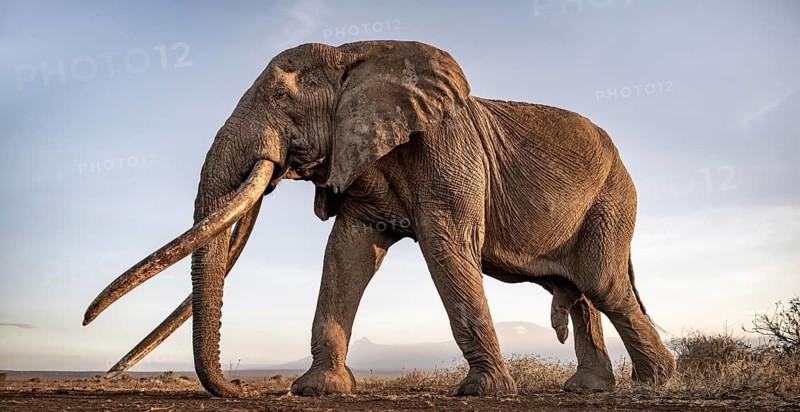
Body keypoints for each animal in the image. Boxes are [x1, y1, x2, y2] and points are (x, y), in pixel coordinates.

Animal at [83, 40, 675, 397]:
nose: (245, 388)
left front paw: (481, 393)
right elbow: (347, 252)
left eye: (278, 94)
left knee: (602, 284)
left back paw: (655, 383)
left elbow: (445, 245)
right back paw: (592, 390)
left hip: (614, 199)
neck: (358, 54)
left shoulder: (447, 148)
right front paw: (317, 390)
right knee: (580, 293)